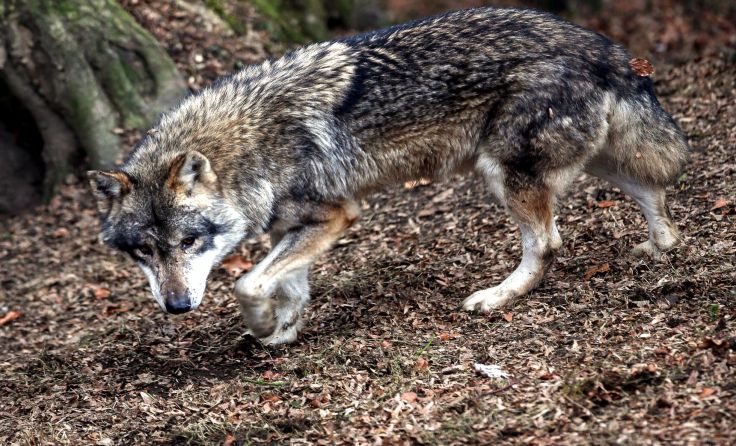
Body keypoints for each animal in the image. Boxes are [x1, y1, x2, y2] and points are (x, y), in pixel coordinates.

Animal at [88, 7, 687, 345]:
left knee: (549, 244)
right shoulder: (295, 227)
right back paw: (658, 249)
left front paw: (260, 326)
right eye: (145, 251)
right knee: (656, 195)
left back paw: (497, 298)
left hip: (504, 173)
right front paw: (282, 331)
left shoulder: (336, 215)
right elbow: (287, 285)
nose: (177, 307)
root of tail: (606, 47)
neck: (248, 145)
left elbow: (247, 282)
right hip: (598, 157)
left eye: (190, 242)